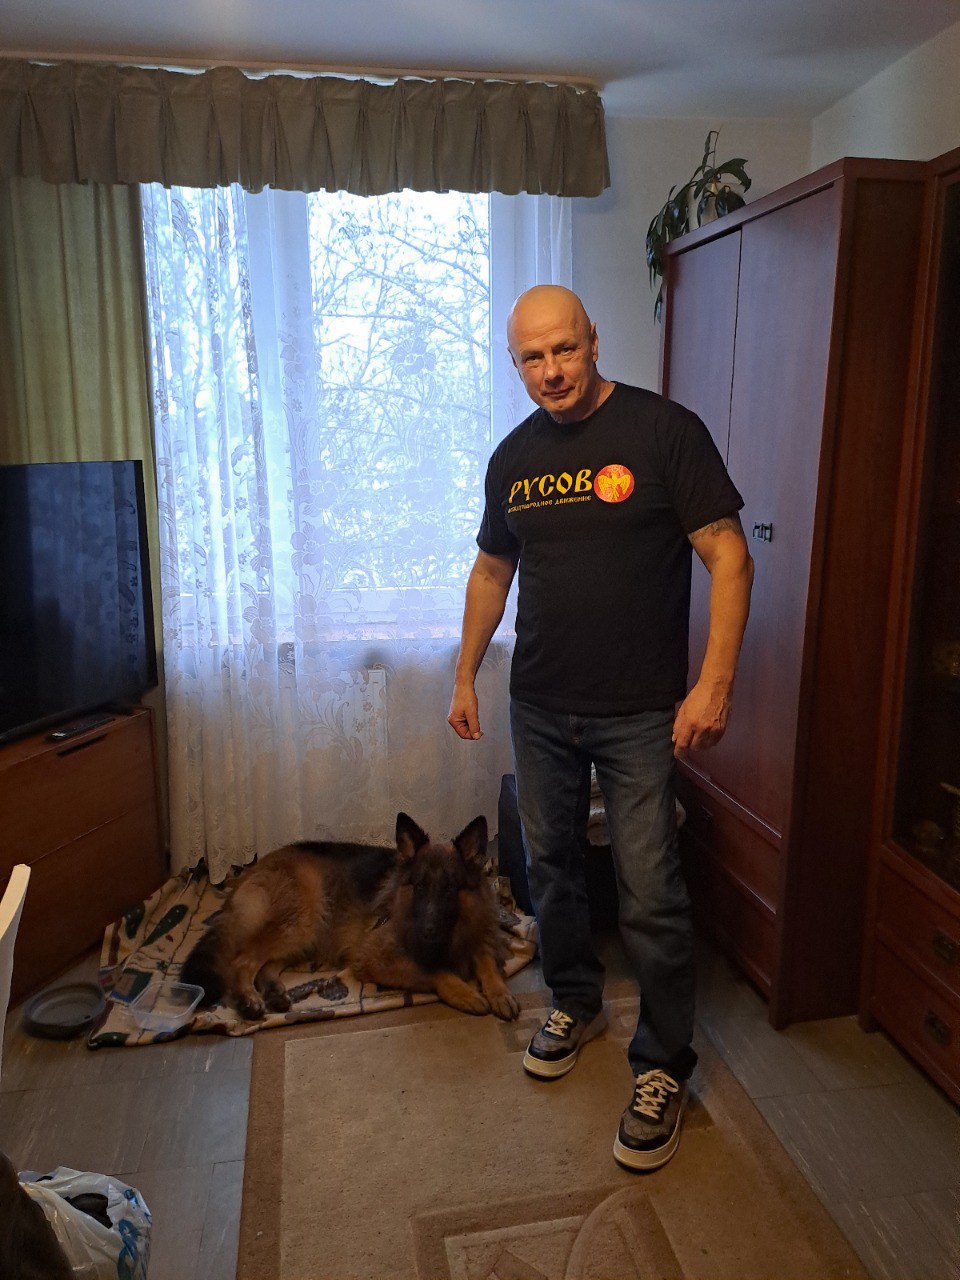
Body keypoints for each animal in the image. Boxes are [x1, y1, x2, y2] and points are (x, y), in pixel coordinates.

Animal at [181, 813, 521, 1021]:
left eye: (450, 888)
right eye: (420, 886)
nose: (427, 930)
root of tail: (252, 870)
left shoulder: (477, 937)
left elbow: (487, 962)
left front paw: (499, 992)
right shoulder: (373, 958)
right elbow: (435, 972)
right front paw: (465, 993)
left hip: (307, 932)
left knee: (266, 963)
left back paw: (275, 992)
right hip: (304, 917)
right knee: (242, 961)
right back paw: (249, 999)